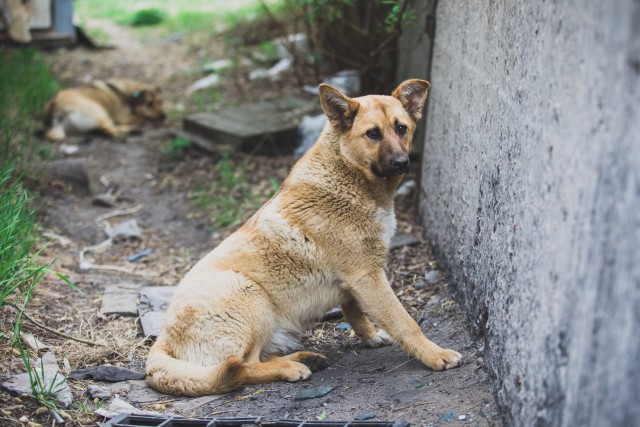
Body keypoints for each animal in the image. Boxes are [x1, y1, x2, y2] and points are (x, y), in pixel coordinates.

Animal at [146, 79, 460, 398]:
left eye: (401, 128)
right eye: (373, 133)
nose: (401, 162)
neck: (348, 175)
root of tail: (161, 345)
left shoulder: (356, 282)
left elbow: (355, 312)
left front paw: (371, 336)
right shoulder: (367, 277)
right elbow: (404, 321)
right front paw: (434, 354)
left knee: (256, 358)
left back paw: (304, 358)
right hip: (252, 295)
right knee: (244, 366)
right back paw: (291, 368)